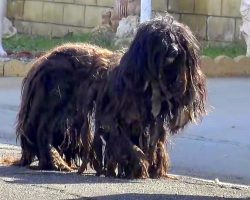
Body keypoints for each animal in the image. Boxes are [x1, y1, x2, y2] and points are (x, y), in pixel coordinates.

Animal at [16, 16, 207, 178]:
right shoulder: (114, 119)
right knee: (43, 133)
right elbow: (124, 143)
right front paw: (137, 165)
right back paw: (54, 161)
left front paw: (150, 169)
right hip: (51, 104)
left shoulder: (145, 123)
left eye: (179, 39)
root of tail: (42, 59)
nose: (174, 51)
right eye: (161, 37)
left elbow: (150, 142)